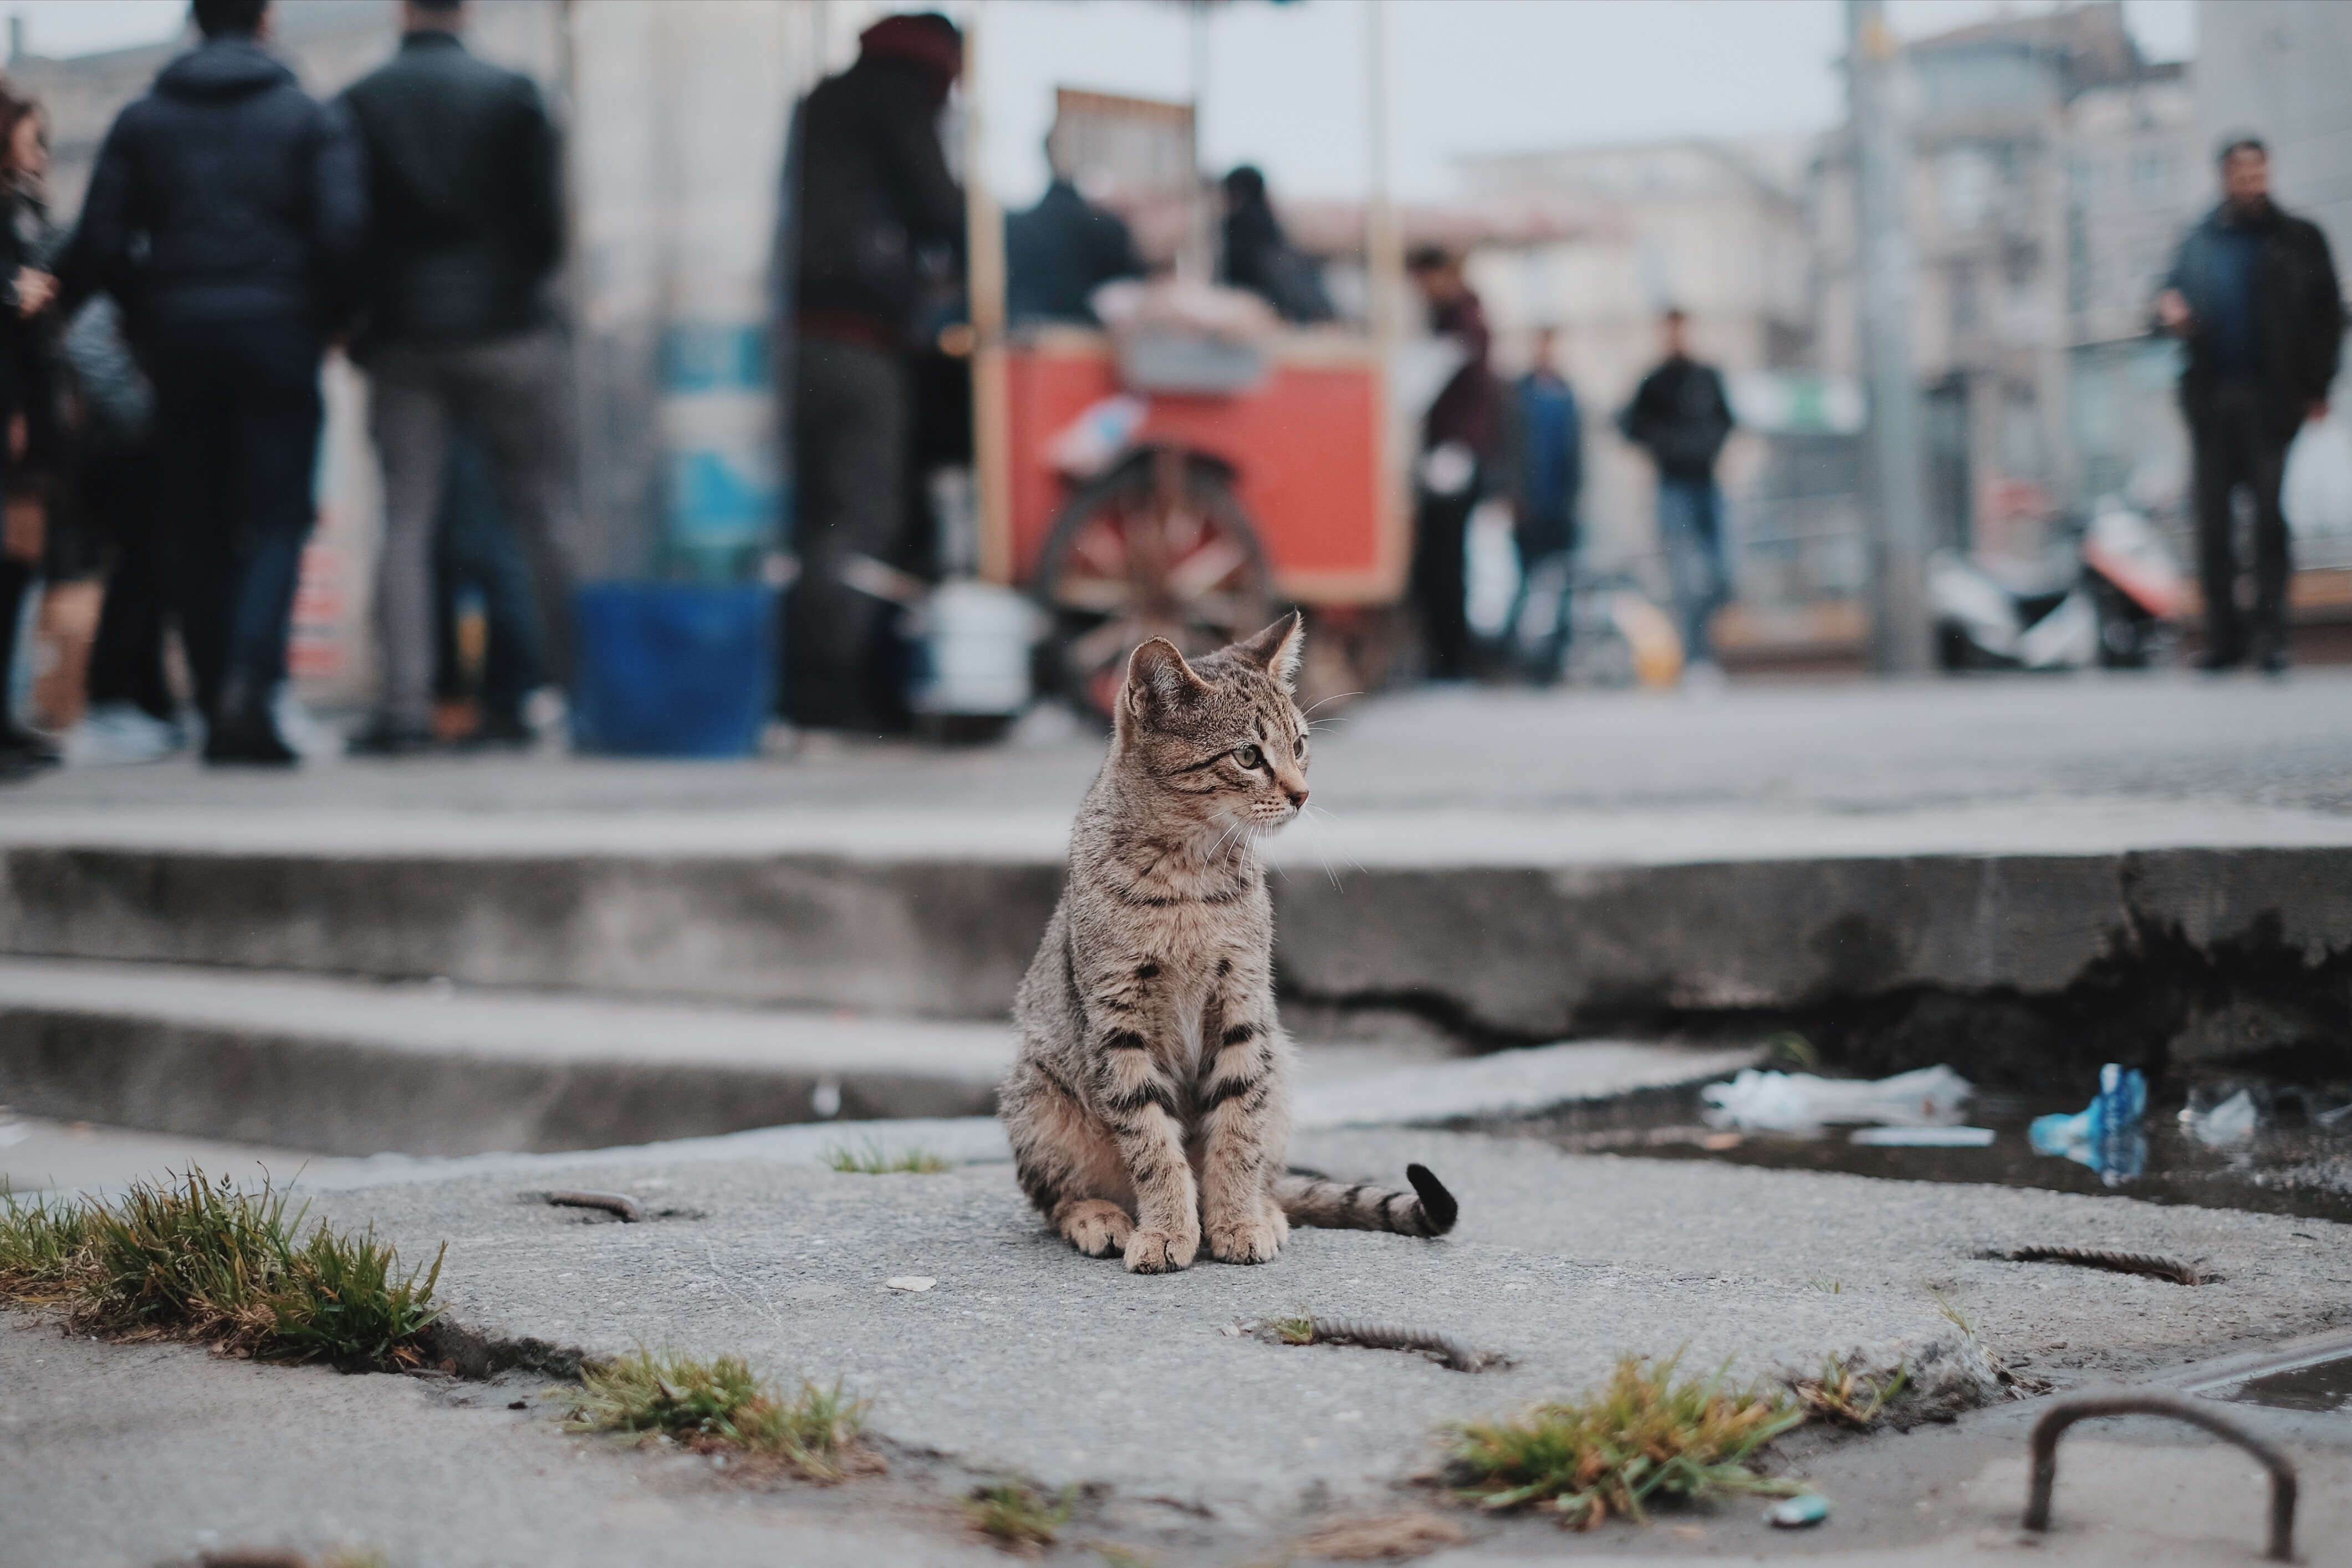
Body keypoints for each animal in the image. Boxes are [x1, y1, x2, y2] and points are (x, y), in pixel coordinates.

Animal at [1007, 611, 1458, 1279]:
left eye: (1300, 745)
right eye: (1248, 755)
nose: (1301, 793)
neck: (1189, 875)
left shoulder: (1244, 1006)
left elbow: (1238, 1131)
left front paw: (1237, 1220)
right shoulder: (1118, 1022)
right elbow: (1151, 1142)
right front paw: (1167, 1229)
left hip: (1281, 1066)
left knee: (1268, 1163)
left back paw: (1264, 1209)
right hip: (1037, 1095)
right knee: (1055, 1196)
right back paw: (1100, 1216)